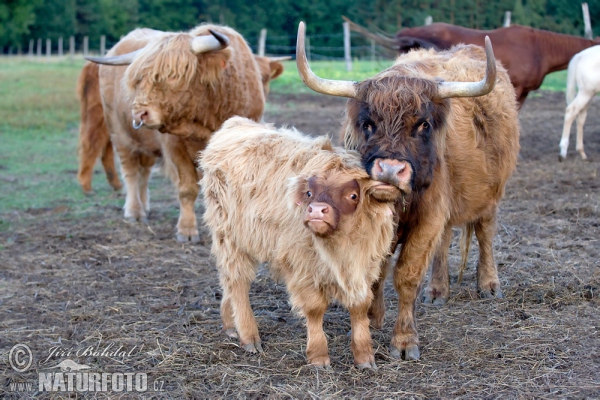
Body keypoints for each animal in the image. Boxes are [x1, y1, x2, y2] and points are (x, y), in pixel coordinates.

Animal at [75, 54, 288, 195]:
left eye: (267, 77)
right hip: (99, 116)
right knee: (92, 143)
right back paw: (86, 185)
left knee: (106, 147)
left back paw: (116, 184)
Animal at [86, 25, 268, 241]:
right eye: (138, 80)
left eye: (173, 75)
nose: (139, 114)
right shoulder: (175, 147)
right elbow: (187, 189)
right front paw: (187, 230)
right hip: (118, 133)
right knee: (130, 171)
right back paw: (135, 212)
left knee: (144, 172)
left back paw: (145, 206)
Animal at [200, 116, 398, 368]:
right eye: (310, 193)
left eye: (353, 195)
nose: (316, 210)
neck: (342, 247)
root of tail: (236, 123)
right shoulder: (302, 264)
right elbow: (314, 308)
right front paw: (318, 356)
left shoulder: (365, 265)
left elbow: (360, 306)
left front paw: (364, 356)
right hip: (229, 236)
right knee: (238, 282)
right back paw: (249, 336)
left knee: (227, 280)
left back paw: (229, 326)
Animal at [296, 21, 520, 360]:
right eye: (368, 123)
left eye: (423, 125)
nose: (390, 170)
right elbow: (377, 270)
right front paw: (372, 318)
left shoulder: (428, 217)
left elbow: (407, 275)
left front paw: (404, 341)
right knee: (445, 240)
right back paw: (438, 290)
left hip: (492, 194)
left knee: (484, 233)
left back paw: (489, 284)